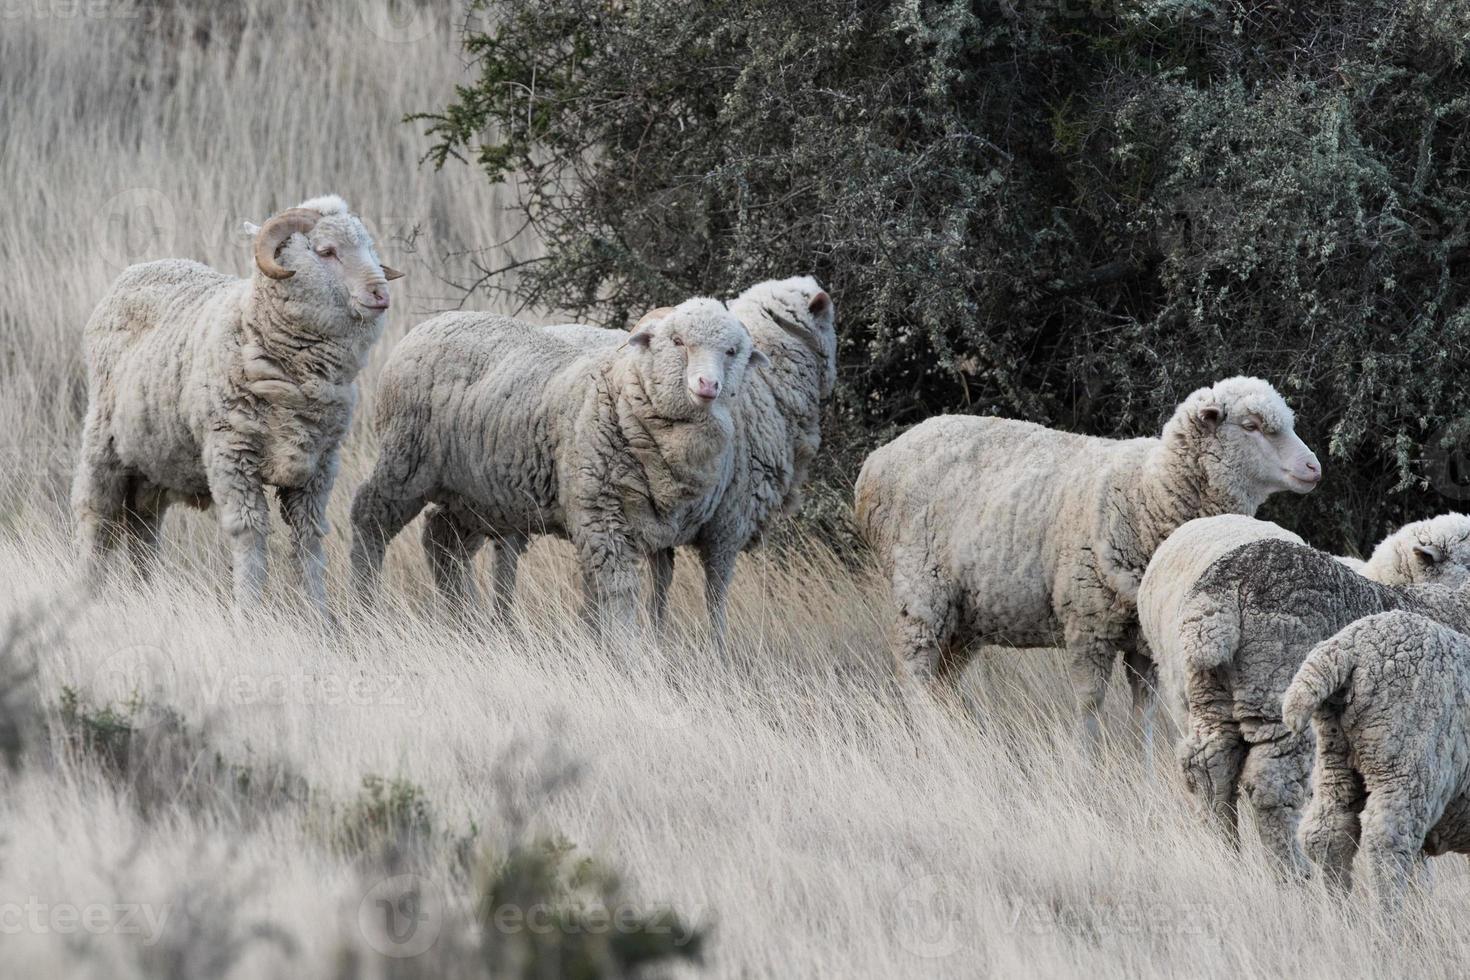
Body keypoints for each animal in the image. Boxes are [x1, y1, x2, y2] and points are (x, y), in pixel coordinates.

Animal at [71, 193, 399, 620]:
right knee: (97, 519)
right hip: (103, 444)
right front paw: (248, 612)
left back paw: (143, 589)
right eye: (326, 251)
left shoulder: (318, 465)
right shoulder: (232, 454)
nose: (381, 295)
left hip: (153, 465)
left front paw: (318, 615)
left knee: (143, 526)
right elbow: (249, 533)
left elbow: (309, 538)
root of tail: (141, 268)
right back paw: (87, 592)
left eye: (370, 249)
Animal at [345, 299, 770, 637]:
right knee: (370, 517)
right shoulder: (603, 518)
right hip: (405, 462)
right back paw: (364, 604)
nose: (707, 385)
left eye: (732, 351)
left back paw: (465, 621)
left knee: (441, 539)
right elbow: (617, 593)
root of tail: (429, 324)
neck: (624, 393)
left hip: (474, 494)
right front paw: (626, 654)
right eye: (678, 342)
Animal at [852, 376, 1323, 743]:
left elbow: (1144, 711)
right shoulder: (1087, 622)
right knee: (914, 676)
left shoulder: (1143, 641)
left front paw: (1141, 770)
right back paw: (932, 737)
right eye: (1251, 425)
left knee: (941, 681)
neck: (1147, 494)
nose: (1314, 468)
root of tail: (874, 463)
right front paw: (1089, 766)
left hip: (966, 615)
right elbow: (1089, 706)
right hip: (921, 594)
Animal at [1140, 537, 1470, 875]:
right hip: (1275, 687)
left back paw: (1224, 854)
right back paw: (1292, 871)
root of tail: (1219, 594)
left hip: (1208, 690)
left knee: (1209, 763)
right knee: (1271, 781)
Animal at [1287, 608, 1470, 910]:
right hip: (1403, 763)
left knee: (1326, 831)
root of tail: (1344, 648)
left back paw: (1342, 914)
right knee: (1387, 842)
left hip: (1333, 754)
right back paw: (1387, 919)